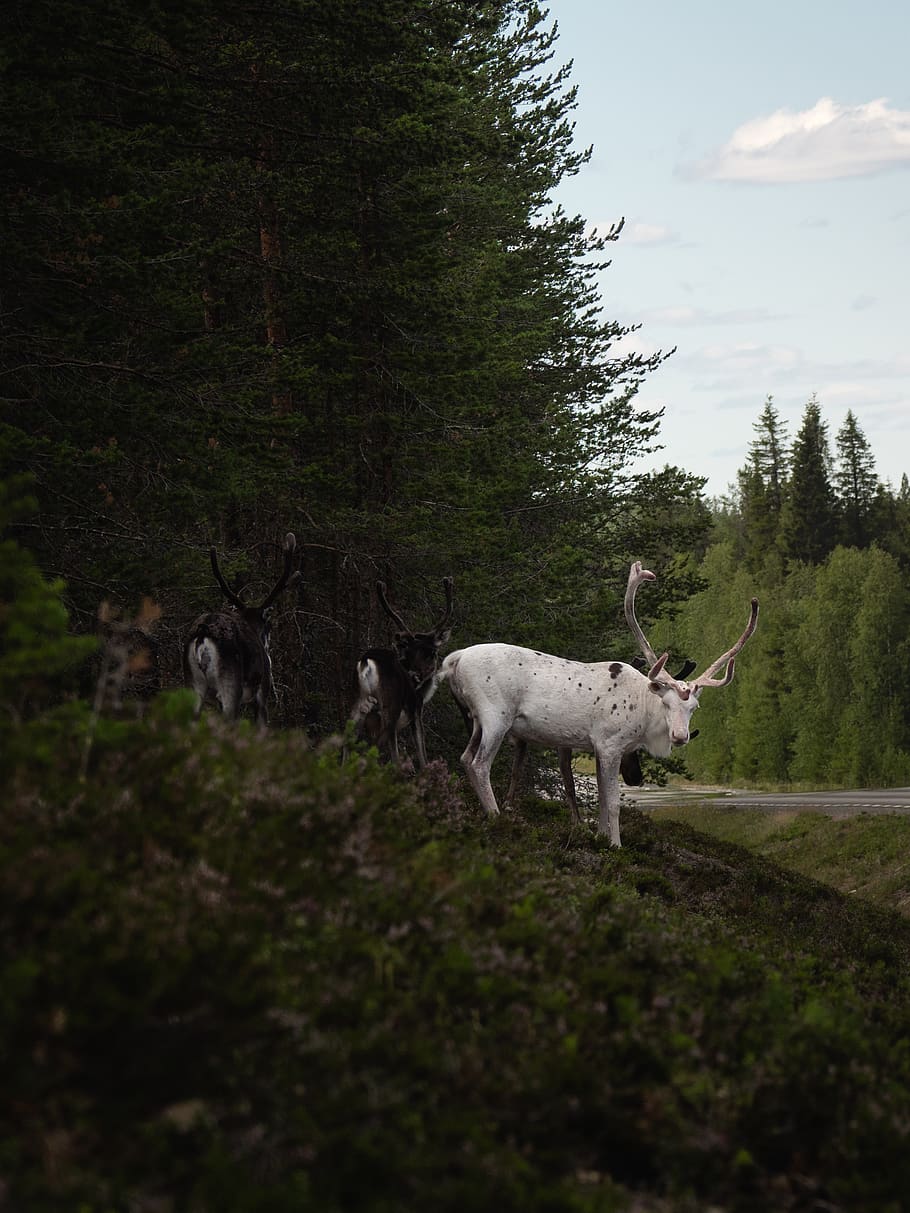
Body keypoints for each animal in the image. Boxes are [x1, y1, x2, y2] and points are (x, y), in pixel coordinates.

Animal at [348, 576, 454, 768]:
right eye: (433, 653)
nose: (416, 676)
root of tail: (367, 662)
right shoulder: (416, 710)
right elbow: (422, 755)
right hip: (391, 706)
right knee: (389, 755)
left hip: (358, 701)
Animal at [440, 561, 758, 846]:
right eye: (666, 703)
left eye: (694, 708)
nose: (680, 736)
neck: (643, 718)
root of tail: (454, 659)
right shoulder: (609, 743)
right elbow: (613, 802)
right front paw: (615, 844)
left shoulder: (597, 747)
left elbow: (602, 799)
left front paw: (601, 837)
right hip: (496, 715)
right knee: (480, 763)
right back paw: (496, 818)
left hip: (477, 719)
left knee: (465, 758)